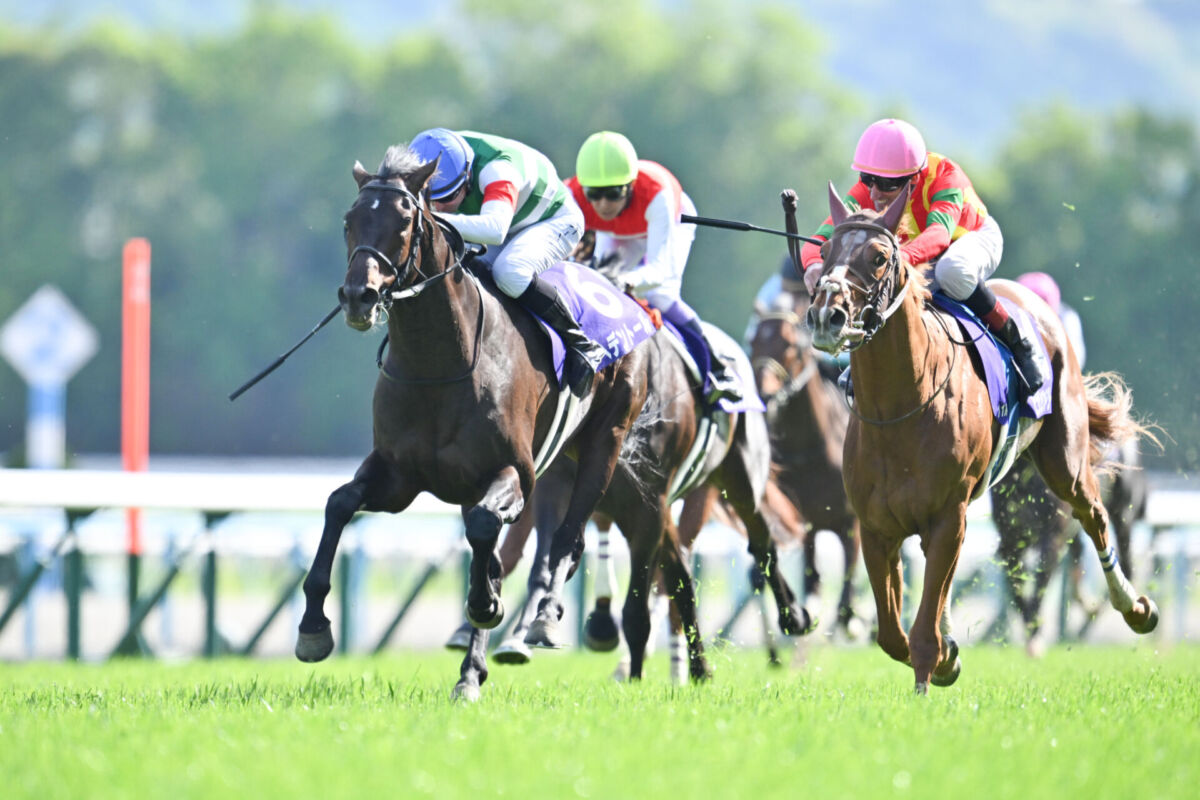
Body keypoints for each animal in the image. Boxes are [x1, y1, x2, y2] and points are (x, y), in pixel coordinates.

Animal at [295, 146, 662, 700]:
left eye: (405, 221)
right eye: (348, 220)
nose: (359, 296)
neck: (440, 360)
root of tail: (622, 295)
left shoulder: (515, 472)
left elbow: (487, 536)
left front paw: (487, 606)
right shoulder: (398, 476)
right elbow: (339, 504)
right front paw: (313, 627)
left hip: (606, 440)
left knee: (566, 538)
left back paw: (539, 620)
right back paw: (474, 668)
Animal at [748, 285, 865, 638]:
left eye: (792, 345)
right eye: (753, 342)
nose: (765, 395)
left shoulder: (852, 520)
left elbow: (849, 580)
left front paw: (852, 621)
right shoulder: (805, 521)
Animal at [803, 182, 1159, 692]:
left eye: (878, 257)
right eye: (824, 251)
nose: (826, 316)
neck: (899, 408)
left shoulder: (949, 515)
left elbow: (922, 635)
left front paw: (936, 666)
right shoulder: (875, 526)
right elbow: (892, 635)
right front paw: (945, 654)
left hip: (1065, 462)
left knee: (1094, 515)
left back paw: (1136, 608)